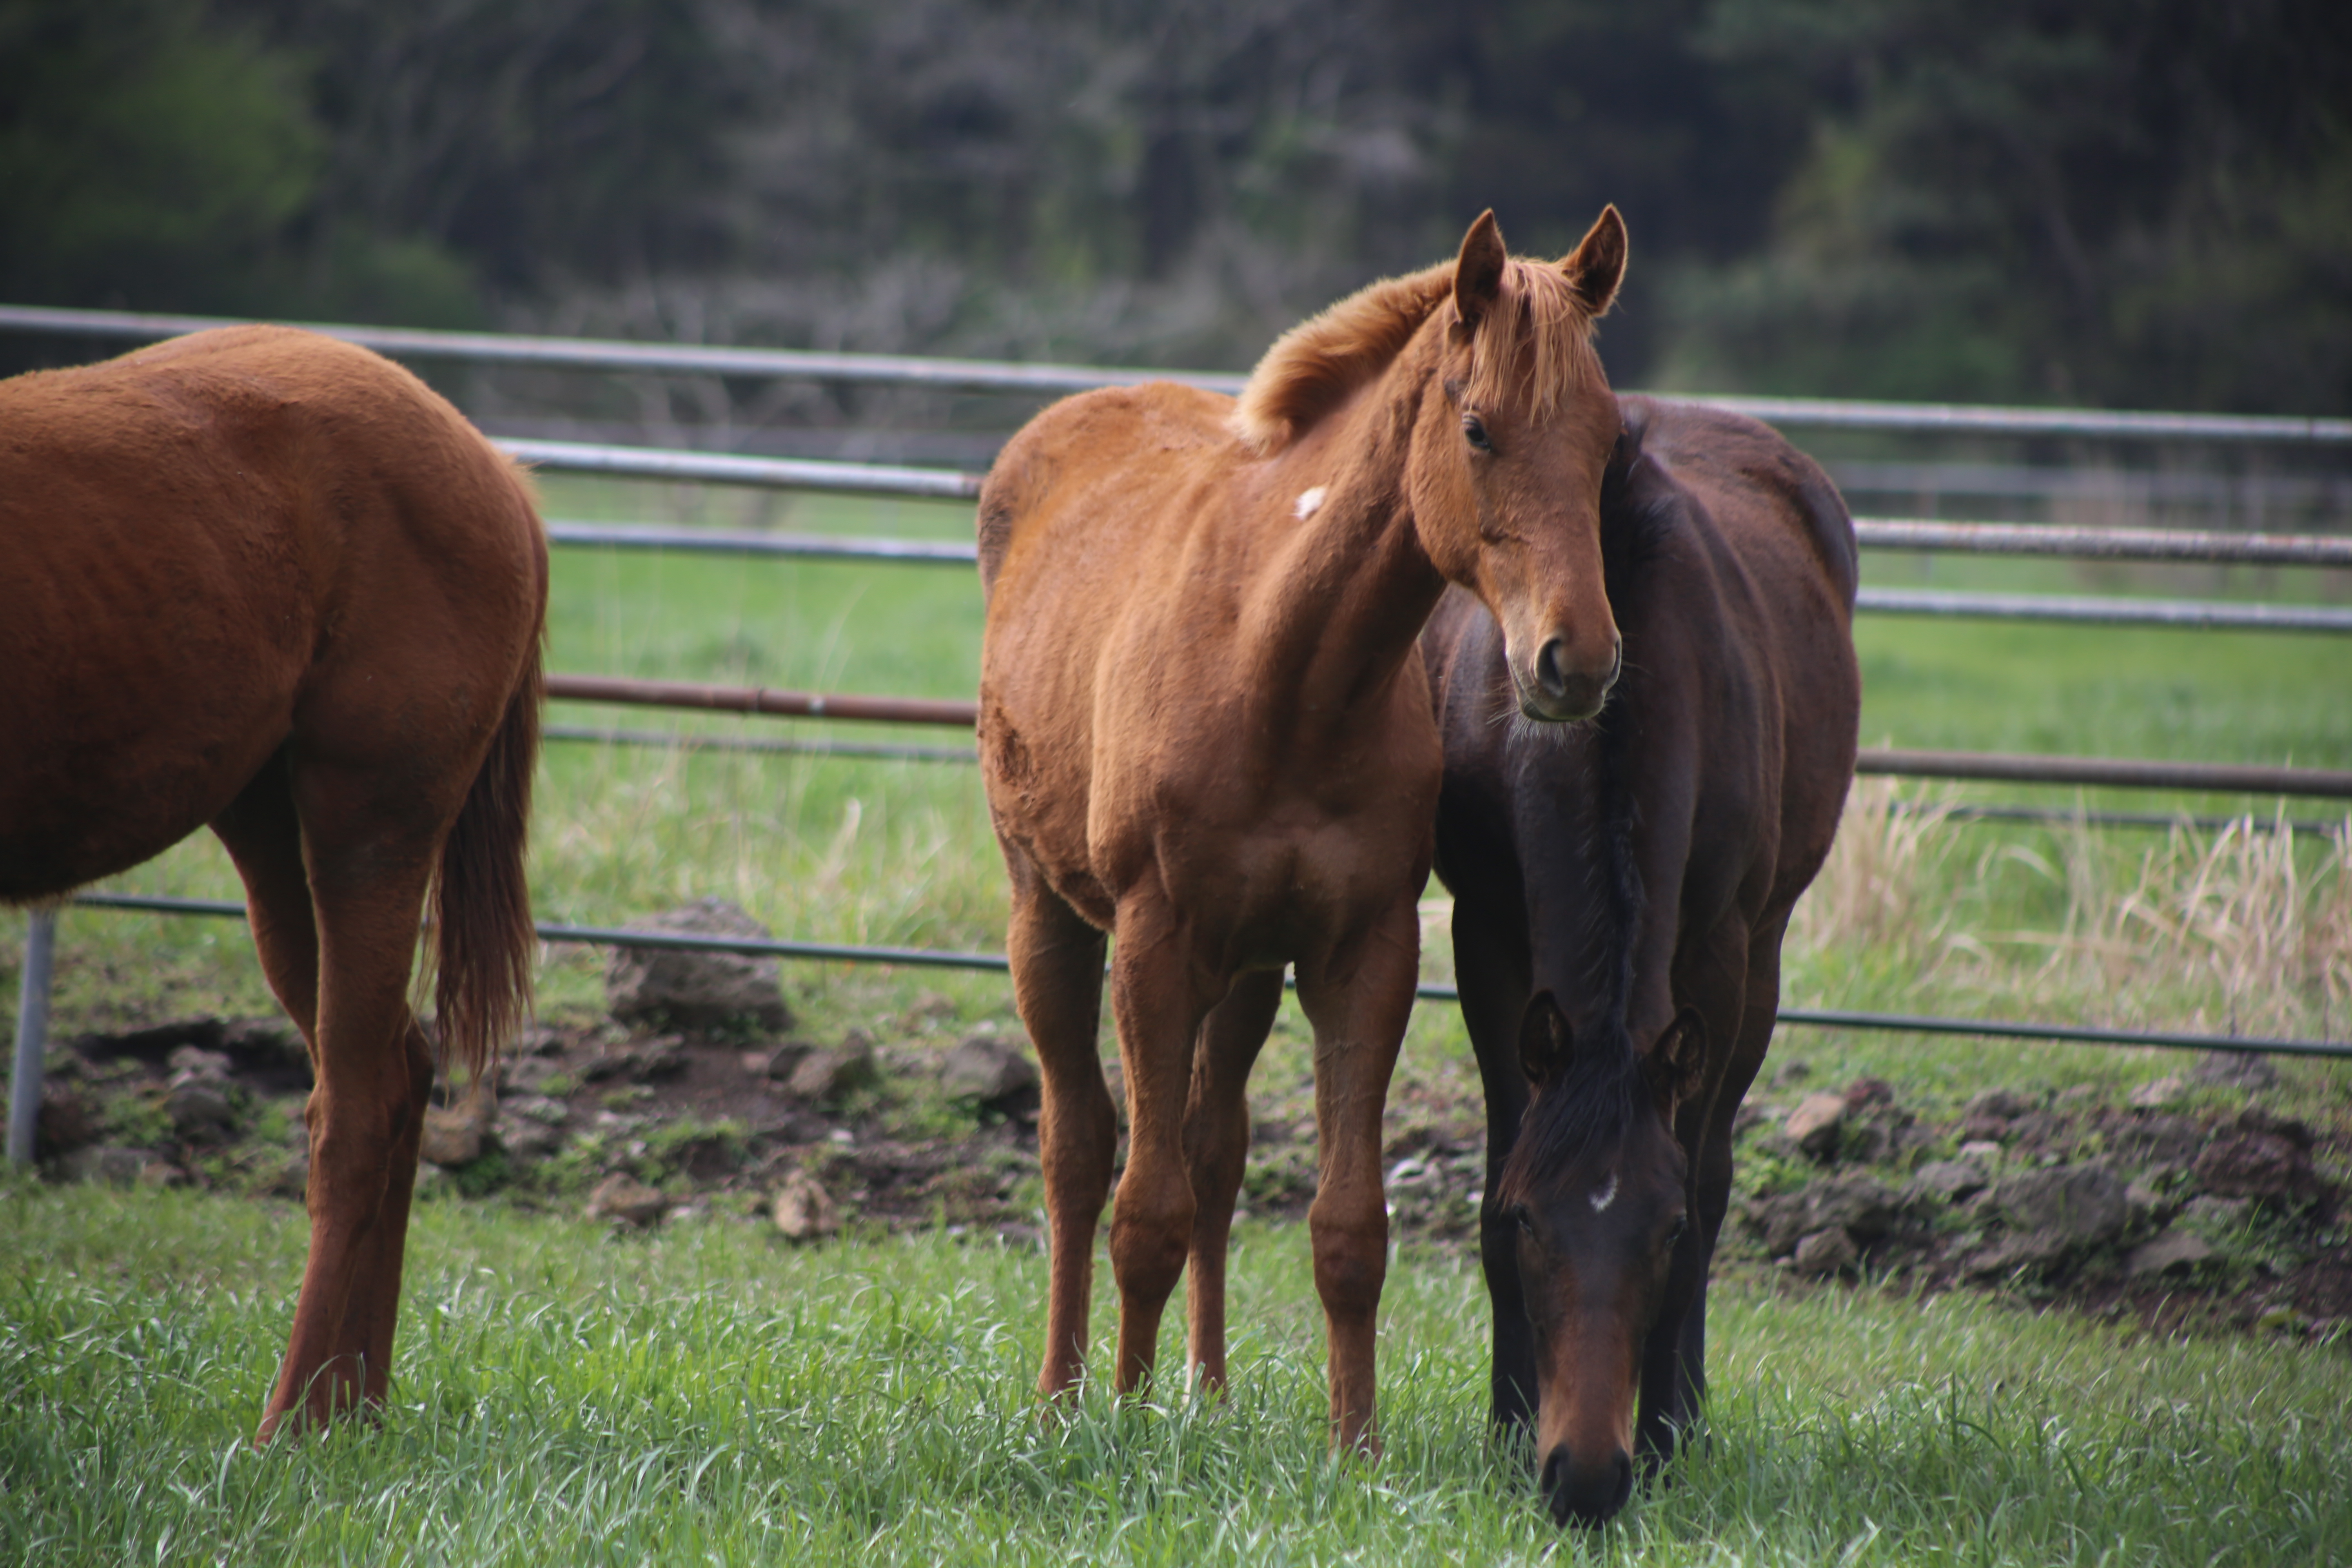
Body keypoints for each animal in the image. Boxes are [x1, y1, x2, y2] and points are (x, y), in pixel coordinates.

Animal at [2, 324, 541, 1439]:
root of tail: (493, 467)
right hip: (266, 827)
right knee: (401, 1073)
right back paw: (349, 1408)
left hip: (367, 826)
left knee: (357, 1108)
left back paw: (292, 1423)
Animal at [983, 212, 1627, 1457]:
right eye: (1477, 427)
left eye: (1609, 438)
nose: (1575, 661)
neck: (1277, 664)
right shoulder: (1152, 943)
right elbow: (1144, 1208)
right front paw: (1126, 1424)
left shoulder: (1360, 954)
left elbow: (1345, 1227)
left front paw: (1353, 1448)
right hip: (1050, 915)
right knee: (1077, 1148)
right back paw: (1062, 1395)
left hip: (1244, 971)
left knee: (1216, 1147)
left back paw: (1208, 1390)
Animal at [1421, 392, 1862, 1523]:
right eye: (1531, 1222)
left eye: (1656, 1234)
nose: (1583, 1478)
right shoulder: (1486, 933)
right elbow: (1500, 1149)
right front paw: (1505, 1429)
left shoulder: (1718, 954)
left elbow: (1701, 1186)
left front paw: (1665, 1435)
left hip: (1764, 954)